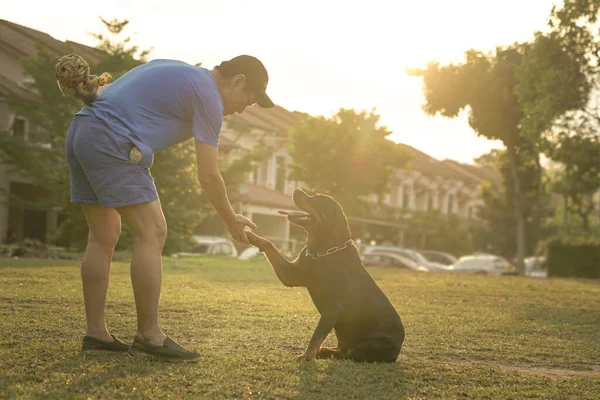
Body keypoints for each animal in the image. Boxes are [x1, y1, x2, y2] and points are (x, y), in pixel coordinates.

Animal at [246, 189, 406, 360]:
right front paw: (251, 235)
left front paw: (307, 356)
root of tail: (397, 353)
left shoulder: (332, 307)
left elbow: (317, 335)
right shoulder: (290, 275)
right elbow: (269, 244)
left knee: (350, 353)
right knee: (343, 348)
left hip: (373, 343)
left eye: (316, 200)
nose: (296, 190)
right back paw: (326, 351)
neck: (321, 250)